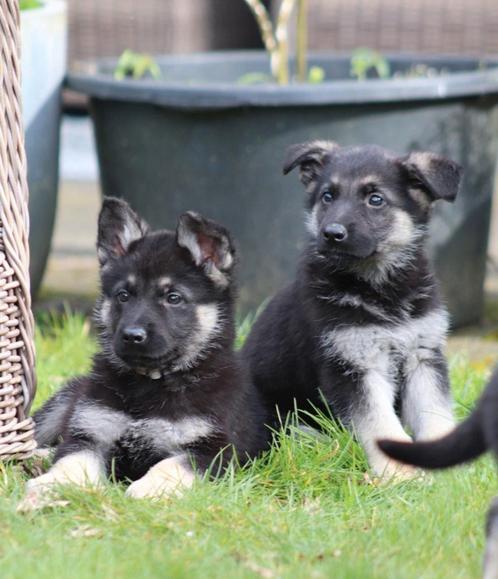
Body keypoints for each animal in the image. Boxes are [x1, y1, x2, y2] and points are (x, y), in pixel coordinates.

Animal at [22, 198, 268, 508]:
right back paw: (37, 458)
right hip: (65, 401)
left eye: (173, 298)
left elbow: (172, 465)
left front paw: (148, 490)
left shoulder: (214, 450)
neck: (151, 383)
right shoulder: (91, 433)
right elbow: (71, 460)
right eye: (123, 295)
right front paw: (50, 485)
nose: (132, 336)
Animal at [243, 142, 462, 480]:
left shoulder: (423, 355)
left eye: (376, 199)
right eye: (327, 196)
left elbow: (434, 410)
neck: (378, 287)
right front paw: (401, 474)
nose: (332, 233)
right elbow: (379, 422)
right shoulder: (352, 365)